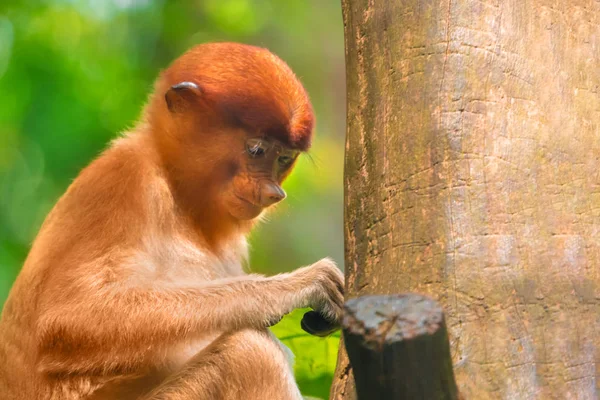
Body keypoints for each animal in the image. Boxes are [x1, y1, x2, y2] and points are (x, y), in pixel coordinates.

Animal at [0, 42, 342, 398]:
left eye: (284, 158)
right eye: (257, 150)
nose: (274, 193)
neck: (177, 190)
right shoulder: (123, 183)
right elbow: (65, 319)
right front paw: (296, 286)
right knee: (249, 352)